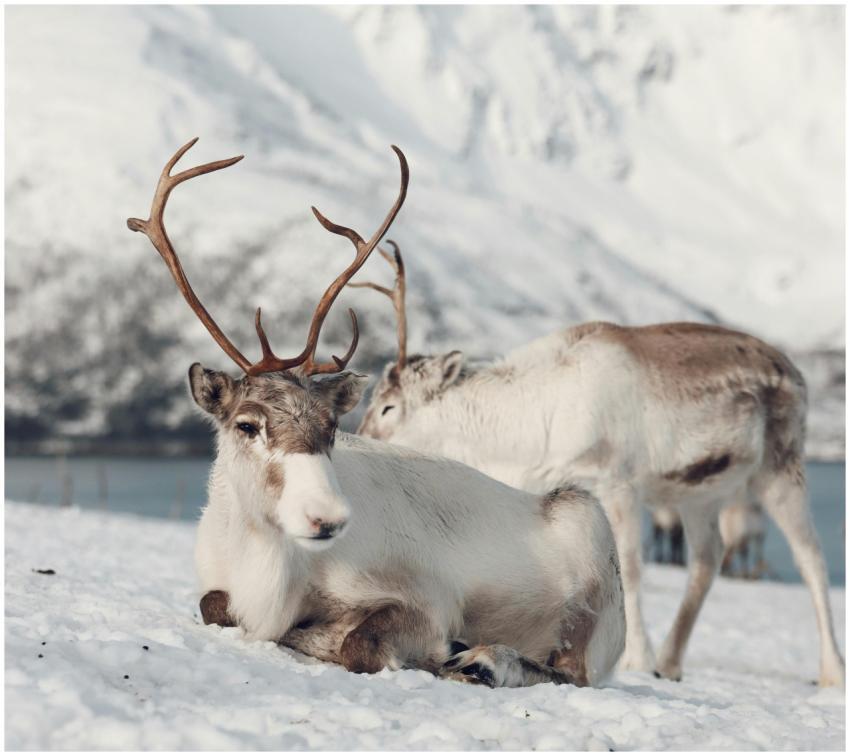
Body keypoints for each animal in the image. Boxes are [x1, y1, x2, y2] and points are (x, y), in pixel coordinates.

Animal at [125, 139, 626, 690]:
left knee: (572, 671)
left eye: (331, 427)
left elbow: (357, 642)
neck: (271, 568)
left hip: (588, 546)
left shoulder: (428, 599)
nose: (327, 516)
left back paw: (483, 660)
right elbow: (213, 606)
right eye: (247, 424)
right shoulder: (219, 585)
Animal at [351, 243, 845, 687]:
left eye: (389, 407)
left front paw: (637, 660)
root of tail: (795, 371)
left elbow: (632, 567)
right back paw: (671, 663)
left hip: (781, 465)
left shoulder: (616, 481)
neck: (527, 429)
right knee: (708, 559)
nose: (360, 438)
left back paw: (831, 672)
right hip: (699, 494)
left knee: (811, 558)